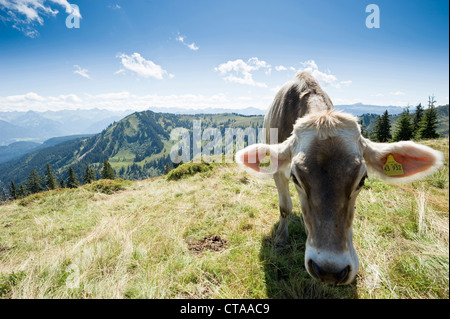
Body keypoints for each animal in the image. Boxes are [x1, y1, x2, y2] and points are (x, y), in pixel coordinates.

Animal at [236, 72, 442, 284]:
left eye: (362, 179)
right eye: (295, 178)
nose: (329, 270)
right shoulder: (279, 172)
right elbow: (285, 207)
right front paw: (281, 238)